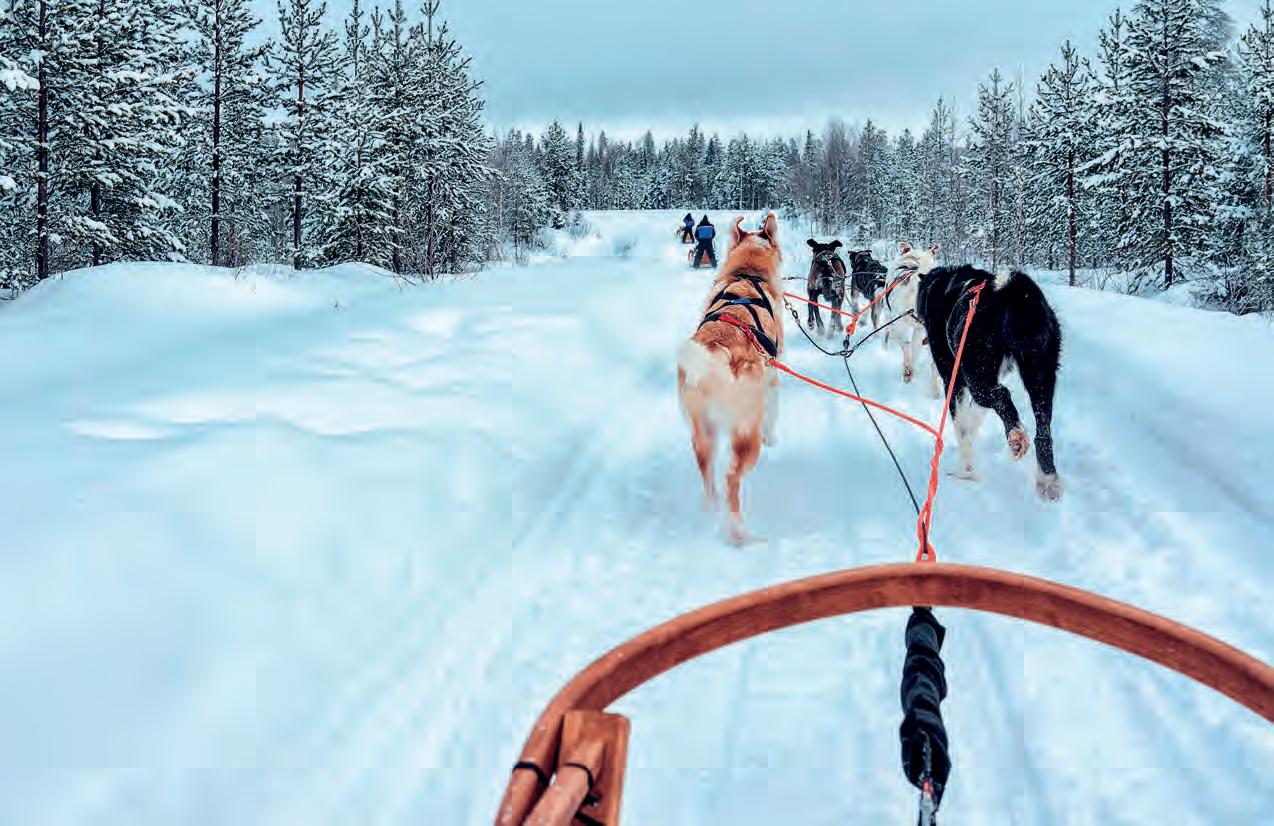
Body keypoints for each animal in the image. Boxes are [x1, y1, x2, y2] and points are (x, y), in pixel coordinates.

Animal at [678, 212, 785, 545]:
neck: (747, 276)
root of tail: (717, 351)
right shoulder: (773, 378)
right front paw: (773, 436)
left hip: (702, 433)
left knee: (709, 477)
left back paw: (713, 512)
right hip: (745, 436)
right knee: (731, 479)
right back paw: (739, 534)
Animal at [916, 263, 1064, 501]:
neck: (941, 286)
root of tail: (1011, 292)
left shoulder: (953, 379)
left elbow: (961, 426)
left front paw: (966, 468)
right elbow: (973, 417)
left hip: (977, 375)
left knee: (1002, 396)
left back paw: (1016, 436)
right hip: (1041, 374)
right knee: (1043, 429)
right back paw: (1048, 479)